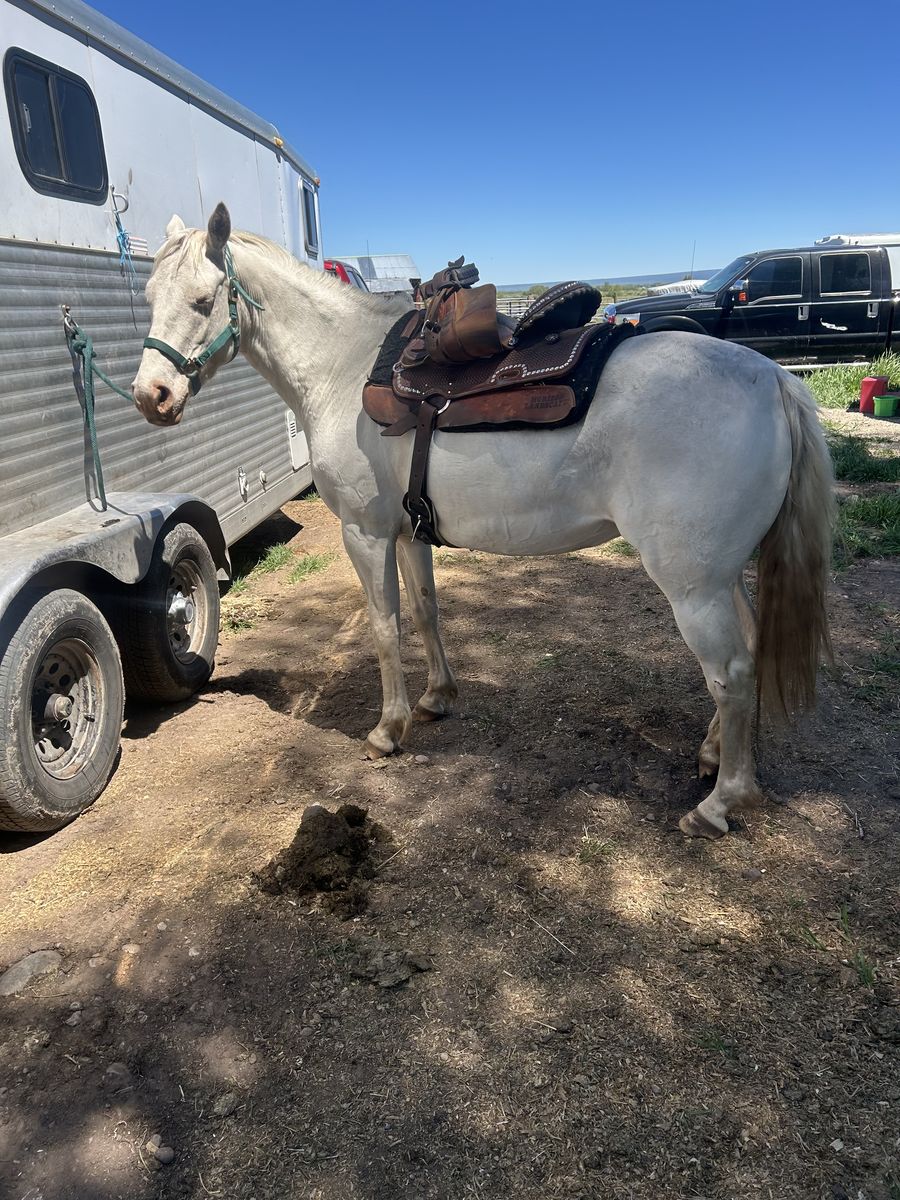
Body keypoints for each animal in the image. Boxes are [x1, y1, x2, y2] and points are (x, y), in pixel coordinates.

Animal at [131, 204, 834, 839]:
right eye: (148, 296)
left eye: (202, 300)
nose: (151, 397)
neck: (340, 367)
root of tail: (774, 380)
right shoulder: (409, 532)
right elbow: (424, 611)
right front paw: (437, 698)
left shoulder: (365, 533)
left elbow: (384, 626)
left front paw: (387, 730)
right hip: (721, 575)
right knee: (747, 649)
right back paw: (714, 755)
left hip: (692, 584)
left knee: (731, 673)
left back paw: (720, 803)